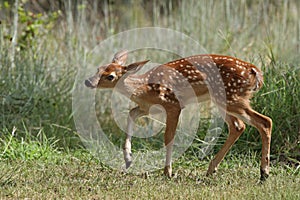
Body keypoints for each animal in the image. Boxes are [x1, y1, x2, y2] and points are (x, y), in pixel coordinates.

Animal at [84, 50, 272, 181]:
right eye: (98, 68)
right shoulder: (147, 108)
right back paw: (211, 169)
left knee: (265, 121)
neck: (144, 89)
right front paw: (128, 159)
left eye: (110, 76)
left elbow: (168, 137)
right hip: (223, 100)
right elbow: (131, 114)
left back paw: (264, 173)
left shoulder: (173, 105)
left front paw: (167, 172)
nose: (88, 81)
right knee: (238, 126)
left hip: (232, 97)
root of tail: (255, 71)